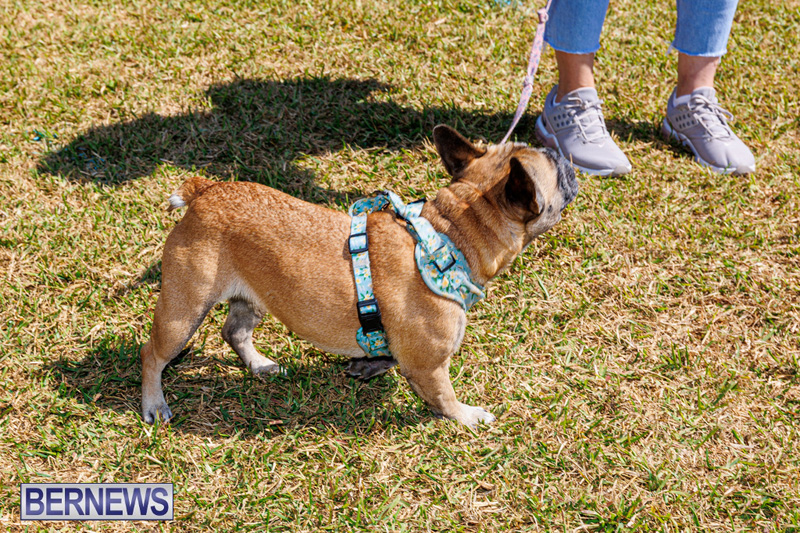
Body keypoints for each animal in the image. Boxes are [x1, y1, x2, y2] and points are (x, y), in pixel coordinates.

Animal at [140, 125, 578, 428]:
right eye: (557, 171)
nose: (563, 155)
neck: (450, 235)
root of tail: (205, 191)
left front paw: (369, 364)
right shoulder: (430, 364)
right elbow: (445, 397)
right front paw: (467, 416)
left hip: (252, 296)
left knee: (235, 331)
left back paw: (260, 365)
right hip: (185, 308)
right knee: (153, 354)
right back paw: (154, 404)